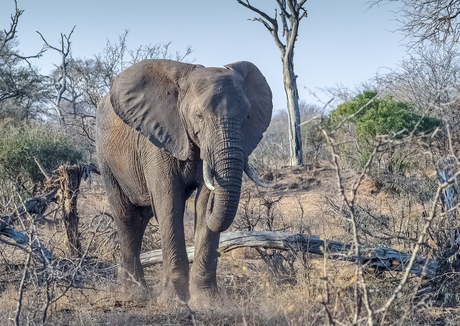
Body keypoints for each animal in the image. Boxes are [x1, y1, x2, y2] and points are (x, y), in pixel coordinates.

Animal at [95, 59, 272, 304]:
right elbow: (169, 202)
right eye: (198, 116)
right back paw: (133, 294)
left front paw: (206, 302)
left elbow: (202, 202)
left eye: (247, 116)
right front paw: (174, 302)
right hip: (106, 157)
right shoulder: (158, 140)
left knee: (142, 218)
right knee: (127, 217)